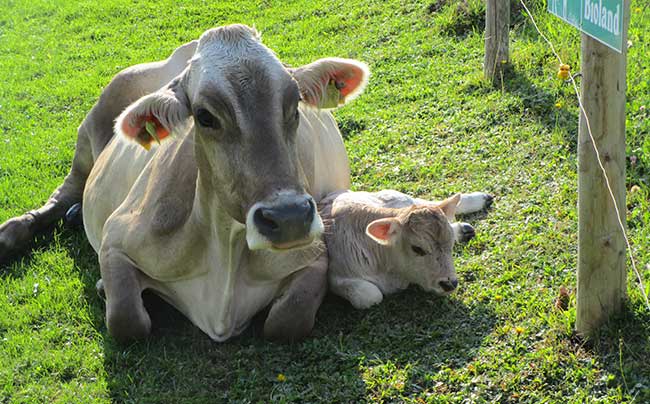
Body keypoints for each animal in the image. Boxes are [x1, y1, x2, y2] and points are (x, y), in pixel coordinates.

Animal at [0, 23, 370, 342]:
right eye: (204, 116)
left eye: (295, 104)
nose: (289, 218)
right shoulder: (116, 238)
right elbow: (126, 321)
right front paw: (106, 287)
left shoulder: (315, 254)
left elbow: (287, 320)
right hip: (89, 131)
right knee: (63, 193)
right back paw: (15, 231)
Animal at [318, 189, 492, 310]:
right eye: (417, 248)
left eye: (450, 244)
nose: (449, 284)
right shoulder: (335, 277)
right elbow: (371, 296)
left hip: (398, 197)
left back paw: (481, 200)